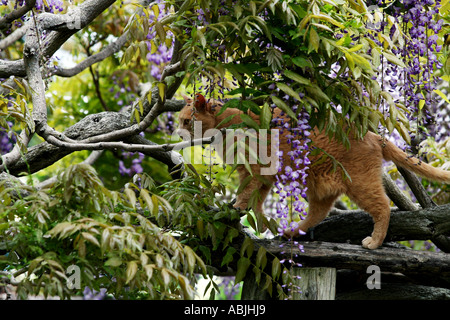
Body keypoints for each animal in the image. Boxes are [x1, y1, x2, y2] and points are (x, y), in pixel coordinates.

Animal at [178, 94, 450, 249]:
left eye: (186, 121)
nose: (178, 134)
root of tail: (373, 134)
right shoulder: (264, 176)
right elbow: (257, 202)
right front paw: (263, 224)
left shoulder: (253, 172)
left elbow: (245, 196)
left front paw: (235, 208)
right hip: (317, 183)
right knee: (319, 212)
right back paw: (290, 231)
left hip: (359, 183)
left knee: (382, 206)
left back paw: (374, 242)